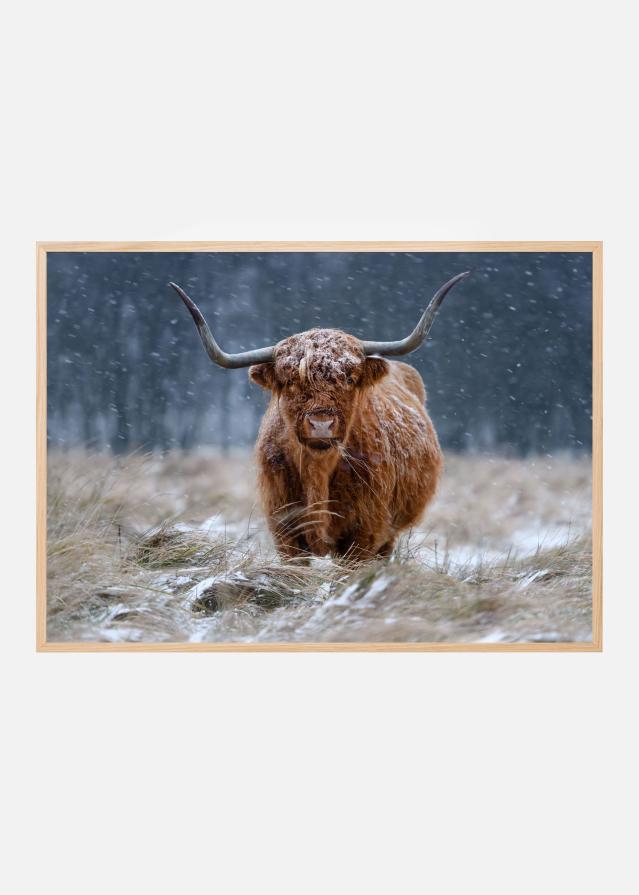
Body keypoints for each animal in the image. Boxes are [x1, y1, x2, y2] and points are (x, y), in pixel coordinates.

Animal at [169, 271, 469, 561]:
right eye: (290, 381)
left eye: (349, 378)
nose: (321, 425)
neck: (318, 472)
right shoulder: (285, 531)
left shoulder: (365, 533)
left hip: (389, 534)